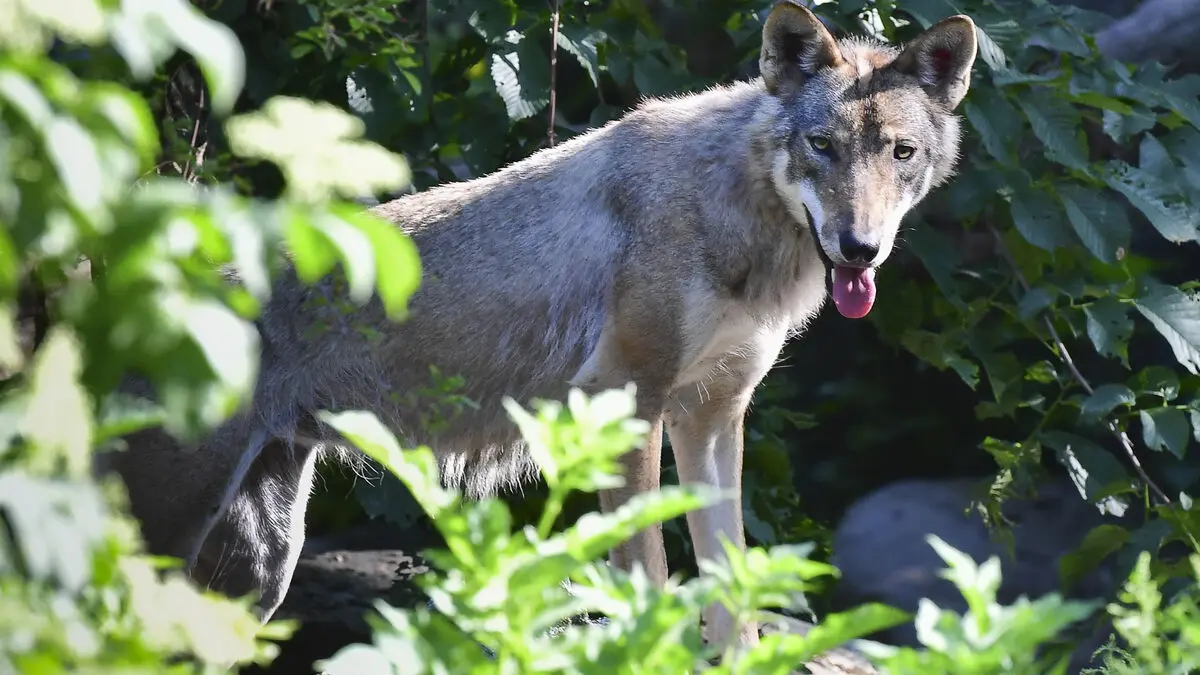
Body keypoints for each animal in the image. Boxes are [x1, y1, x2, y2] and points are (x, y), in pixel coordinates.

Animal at [98, 1, 977, 651]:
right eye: (821, 145)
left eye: (899, 153)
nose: (858, 246)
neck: (736, 215)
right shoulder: (628, 405)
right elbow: (650, 584)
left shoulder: (713, 415)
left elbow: (732, 597)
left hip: (261, 570)